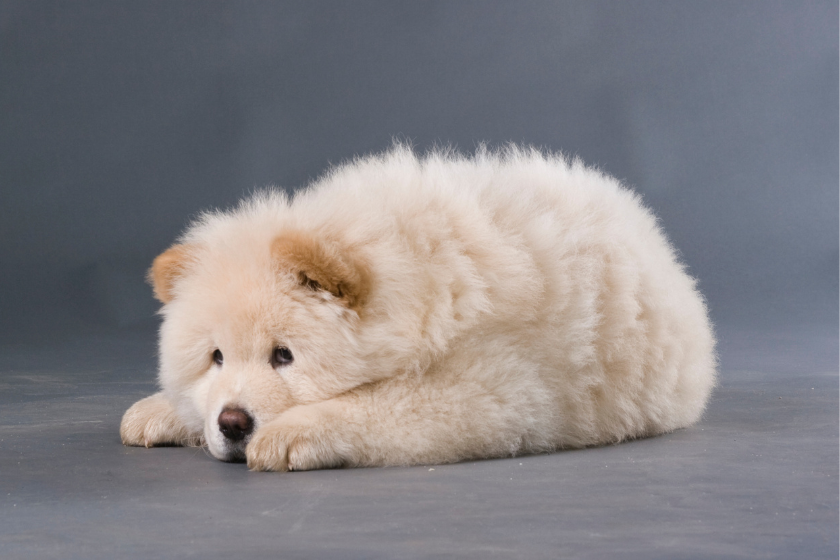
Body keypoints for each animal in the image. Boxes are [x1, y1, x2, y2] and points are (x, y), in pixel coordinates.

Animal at [121, 144, 720, 468]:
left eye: (284, 356)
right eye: (216, 358)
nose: (233, 422)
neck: (409, 281)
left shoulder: (491, 387)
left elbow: (372, 406)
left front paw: (290, 435)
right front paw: (157, 411)